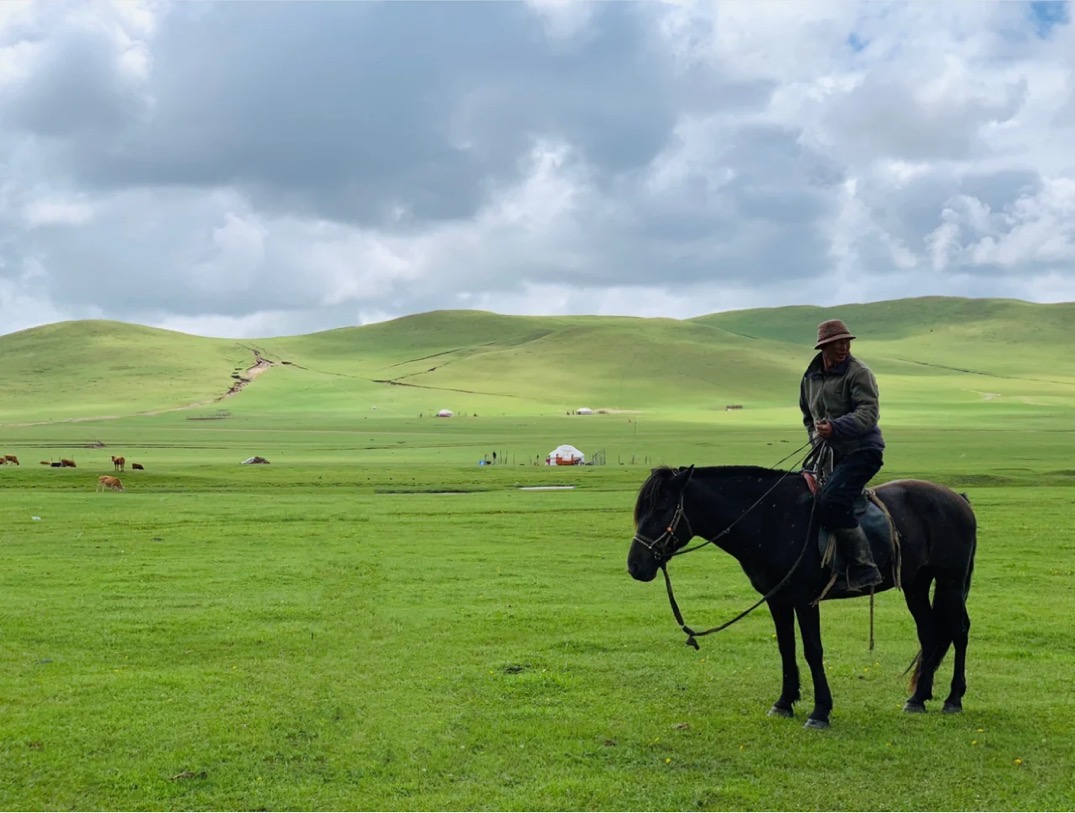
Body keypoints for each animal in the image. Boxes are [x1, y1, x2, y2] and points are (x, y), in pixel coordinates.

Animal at [627, 466, 980, 726]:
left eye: (662, 508)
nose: (635, 565)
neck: (770, 518)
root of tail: (959, 500)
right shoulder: (778, 600)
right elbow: (786, 649)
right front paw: (784, 703)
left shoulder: (804, 599)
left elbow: (812, 650)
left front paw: (820, 711)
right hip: (916, 584)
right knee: (931, 632)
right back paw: (917, 698)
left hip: (950, 581)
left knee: (959, 631)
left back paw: (953, 699)